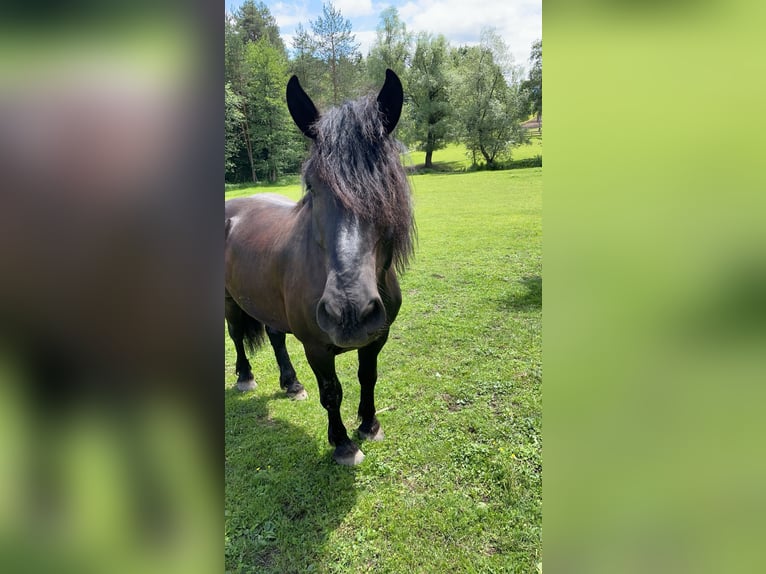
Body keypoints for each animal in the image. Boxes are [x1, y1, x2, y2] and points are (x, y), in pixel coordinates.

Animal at [224, 70, 415, 465]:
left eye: (386, 181)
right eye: (311, 185)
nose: (349, 312)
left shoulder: (378, 336)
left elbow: (367, 376)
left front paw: (369, 425)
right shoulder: (315, 347)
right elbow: (332, 392)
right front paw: (343, 443)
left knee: (275, 336)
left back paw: (291, 383)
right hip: (229, 301)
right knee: (235, 336)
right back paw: (245, 378)